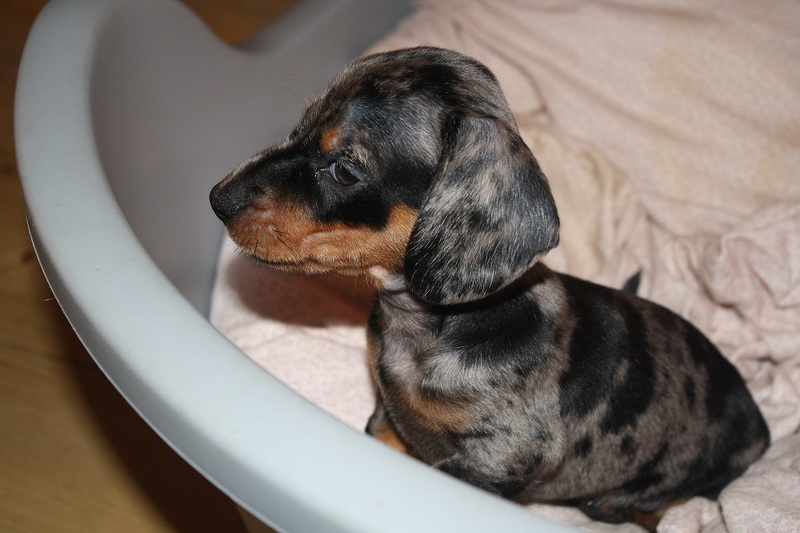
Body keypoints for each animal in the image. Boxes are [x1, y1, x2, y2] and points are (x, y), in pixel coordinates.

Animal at [210, 47, 769, 530]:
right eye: (298, 127)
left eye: (344, 169)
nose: (217, 199)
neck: (437, 325)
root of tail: (760, 425)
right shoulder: (387, 418)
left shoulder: (491, 462)